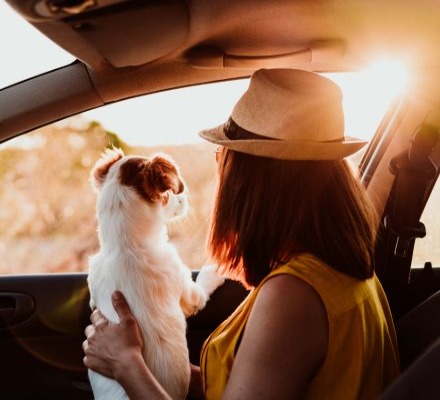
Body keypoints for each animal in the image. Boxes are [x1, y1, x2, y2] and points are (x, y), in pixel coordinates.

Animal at [87, 148, 223, 400]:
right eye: (170, 192)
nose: (185, 197)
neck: (126, 246)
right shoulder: (188, 291)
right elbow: (202, 286)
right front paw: (214, 270)